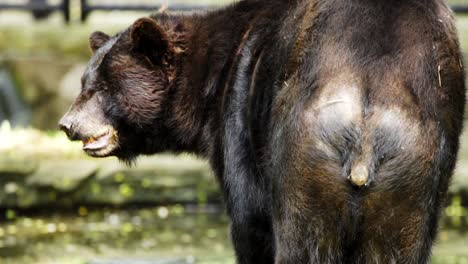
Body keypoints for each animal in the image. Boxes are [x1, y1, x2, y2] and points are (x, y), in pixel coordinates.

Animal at [59, 1, 464, 262]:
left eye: (107, 86)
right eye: (85, 82)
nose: (68, 124)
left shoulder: (239, 120)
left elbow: (248, 221)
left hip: (302, 156)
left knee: (300, 241)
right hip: (413, 172)